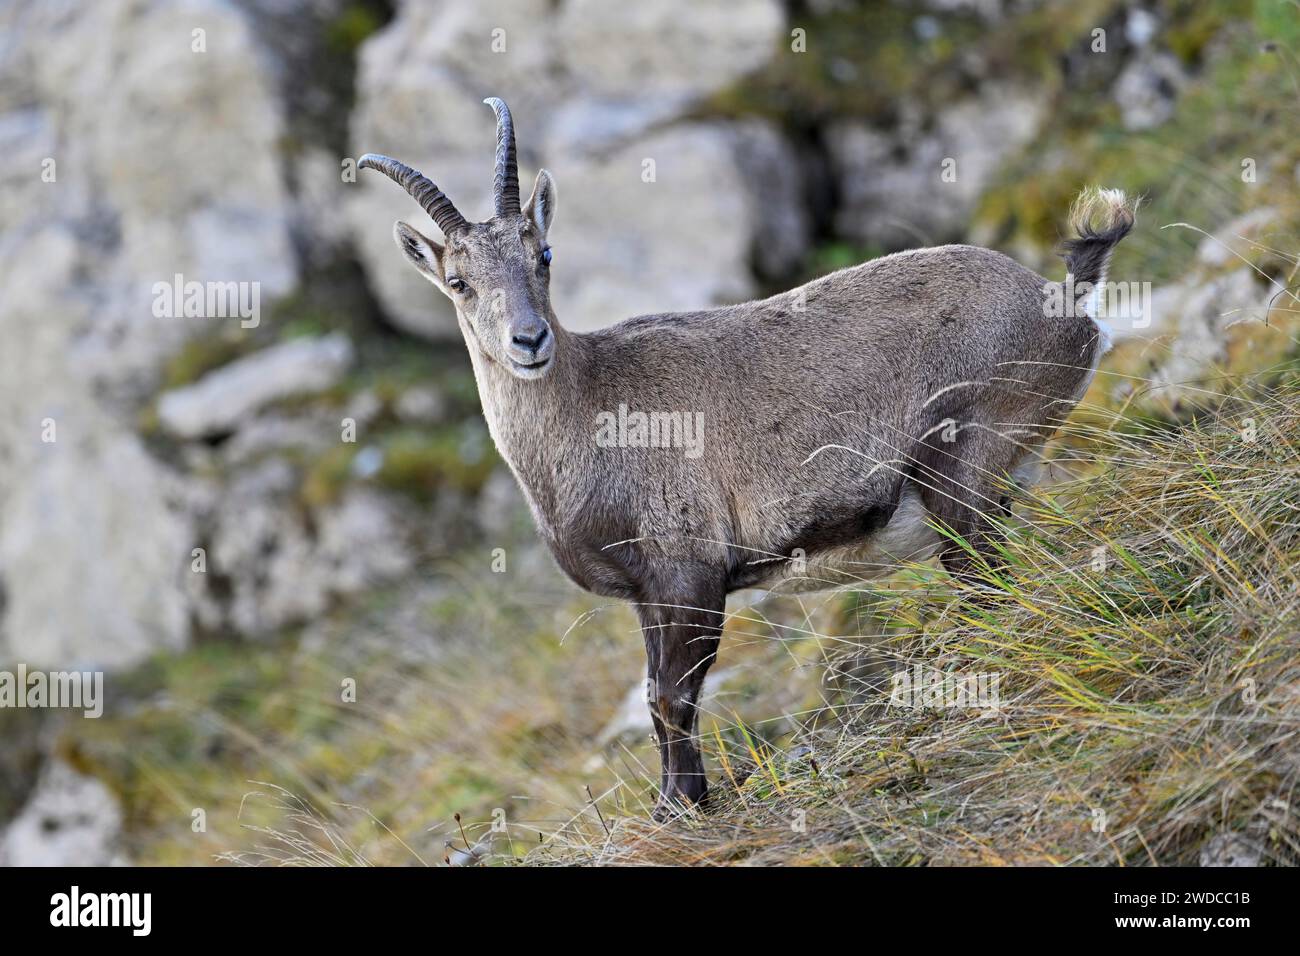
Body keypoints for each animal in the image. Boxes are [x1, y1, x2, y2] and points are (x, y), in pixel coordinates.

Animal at [359, 97, 1135, 819]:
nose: (528, 340)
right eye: (459, 282)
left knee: (987, 583)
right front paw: (673, 803)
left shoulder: (691, 572)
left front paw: (685, 806)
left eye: (542, 256)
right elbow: (655, 694)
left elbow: (672, 698)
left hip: (958, 471)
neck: (590, 411)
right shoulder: (648, 595)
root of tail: (1064, 303)